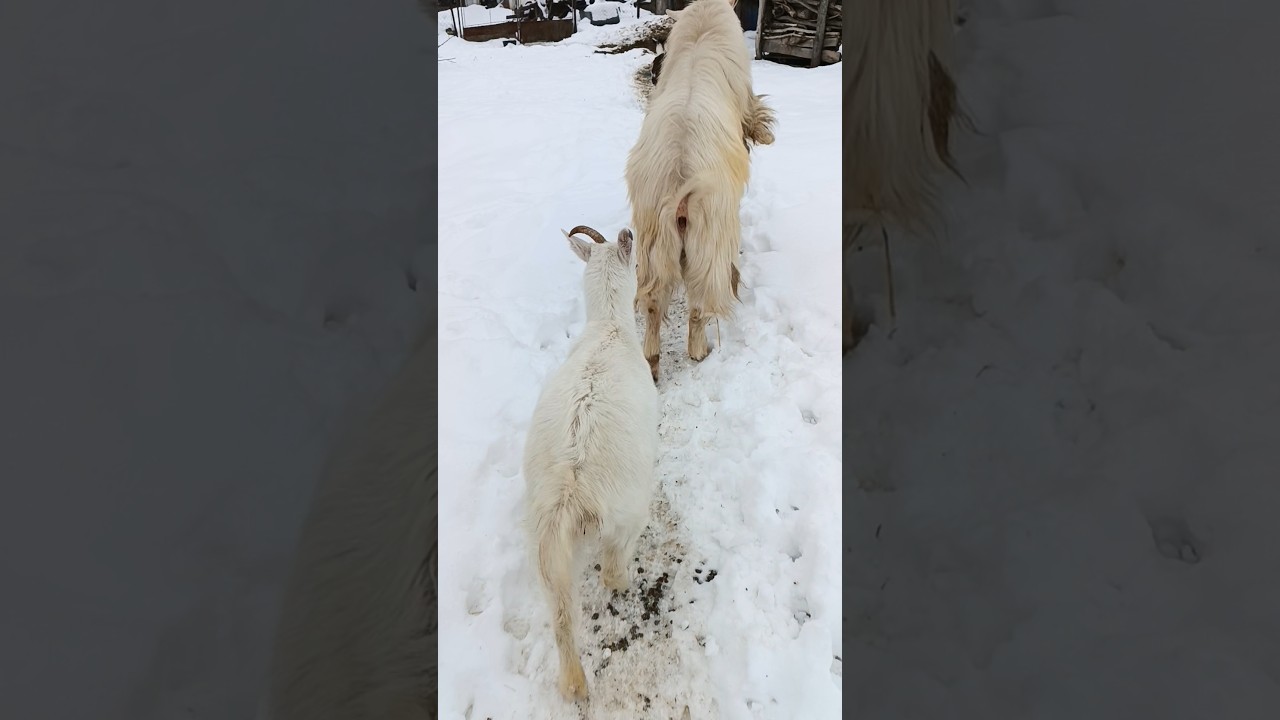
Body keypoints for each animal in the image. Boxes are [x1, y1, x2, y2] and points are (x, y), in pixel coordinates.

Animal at [523, 226, 660, 701]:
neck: (609, 329)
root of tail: (570, 489)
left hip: (545, 546)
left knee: (561, 611)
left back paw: (573, 684)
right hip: (626, 515)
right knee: (612, 571)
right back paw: (626, 581)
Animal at [626, 0, 775, 382]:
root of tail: (681, 181)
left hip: (652, 241)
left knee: (652, 303)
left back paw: (651, 363)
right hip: (709, 241)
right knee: (699, 303)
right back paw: (700, 350)